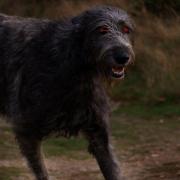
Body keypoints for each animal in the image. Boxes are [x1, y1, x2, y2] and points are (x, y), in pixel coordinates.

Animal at [0, 5, 134, 180]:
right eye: (102, 29)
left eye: (126, 29)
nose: (123, 57)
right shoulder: (26, 131)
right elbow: (41, 171)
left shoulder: (98, 134)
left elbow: (111, 167)